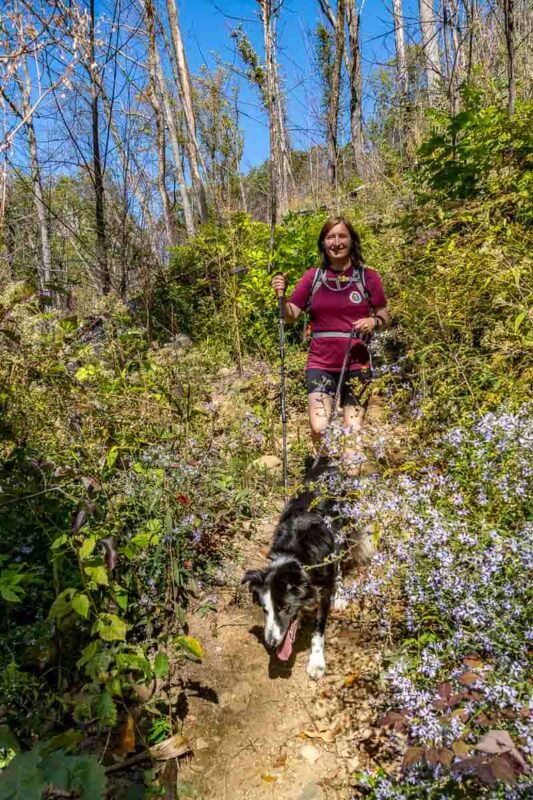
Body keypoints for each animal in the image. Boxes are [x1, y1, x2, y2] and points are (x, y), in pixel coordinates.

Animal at [242, 465, 345, 680]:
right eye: (265, 610)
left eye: (285, 608)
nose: (271, 643)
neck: (295, 557)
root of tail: (327, 464)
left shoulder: (324, 591)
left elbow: (319, 629)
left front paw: (316, 662)